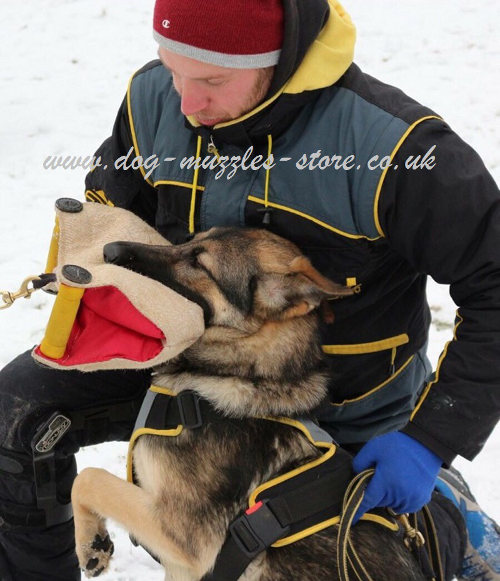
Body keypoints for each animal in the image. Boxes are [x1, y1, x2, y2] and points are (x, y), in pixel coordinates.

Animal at [72, 227, 428, 580]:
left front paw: (90, 544)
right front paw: (94, 542)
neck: (241, 372)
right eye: (188, 240)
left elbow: (89, 478)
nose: (110, 249)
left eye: (199, 263)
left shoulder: (182, 533)